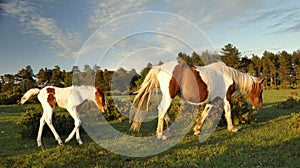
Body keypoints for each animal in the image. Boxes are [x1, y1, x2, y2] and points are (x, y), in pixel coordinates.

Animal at [129, 61, 262, 140]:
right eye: (260, 90)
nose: (258, 106)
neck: (227, 74)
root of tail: (161, 67)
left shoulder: (211, 101)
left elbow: (205, 114)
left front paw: (197, 130)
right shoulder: (226, 98)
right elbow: (228, 112)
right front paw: (232, 128)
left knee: (162, 110)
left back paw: (171, 131)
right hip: (169, 96)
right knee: (162, 110)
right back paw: (161, 135)